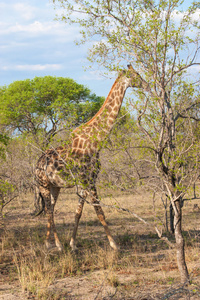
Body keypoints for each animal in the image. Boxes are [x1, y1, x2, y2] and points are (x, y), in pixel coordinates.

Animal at [34, 65, 144, 251]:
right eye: (135, 75)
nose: (146, 84)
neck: (96, 140)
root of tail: (35, 166)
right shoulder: (88, 180)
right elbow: (99, 211)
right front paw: (114, 244)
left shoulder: (86, 181)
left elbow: (78, 213)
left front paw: (73, 244)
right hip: (43, 185)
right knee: (49, 210)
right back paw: (58, 245)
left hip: (55, 186)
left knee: (51, 210)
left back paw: (48, 243)